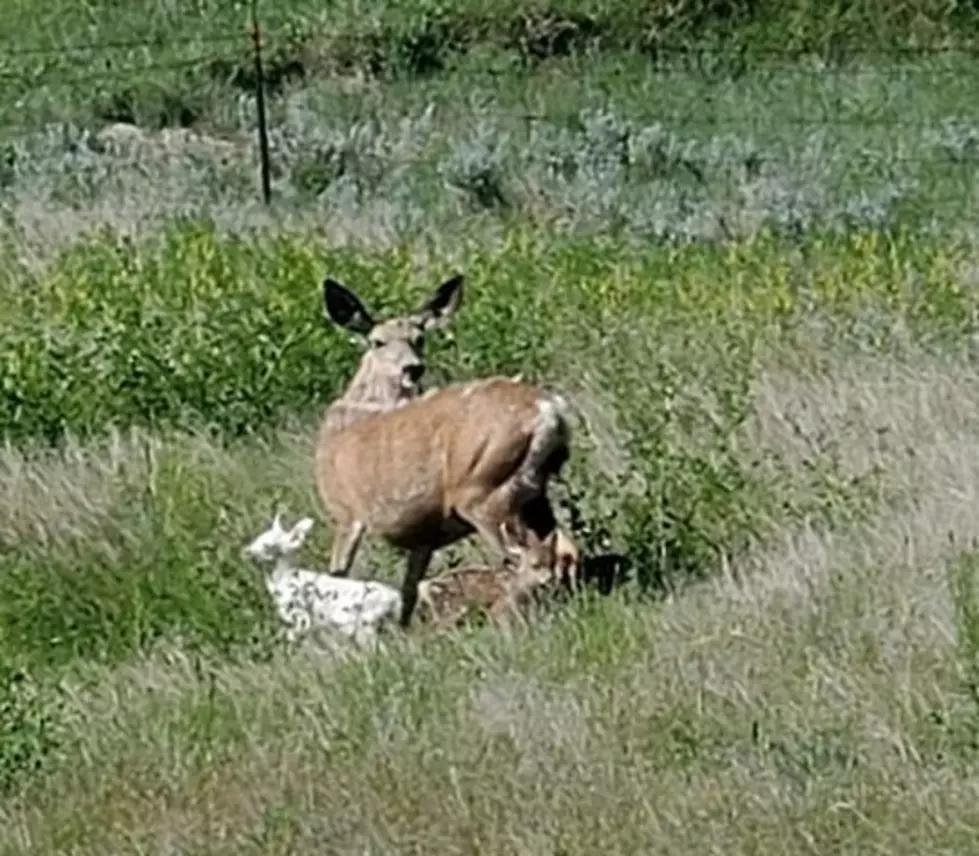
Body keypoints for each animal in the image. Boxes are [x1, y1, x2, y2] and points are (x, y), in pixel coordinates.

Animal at [314, 274, 576, 628]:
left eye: (419, 338)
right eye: (377, 342)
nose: (413, 368)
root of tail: (550, 411)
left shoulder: (346, 513)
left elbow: (338, 575)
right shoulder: (423, 534)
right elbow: (408, 591)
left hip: (483, 490)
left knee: (522, 559)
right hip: (535, 491)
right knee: (563, 546)